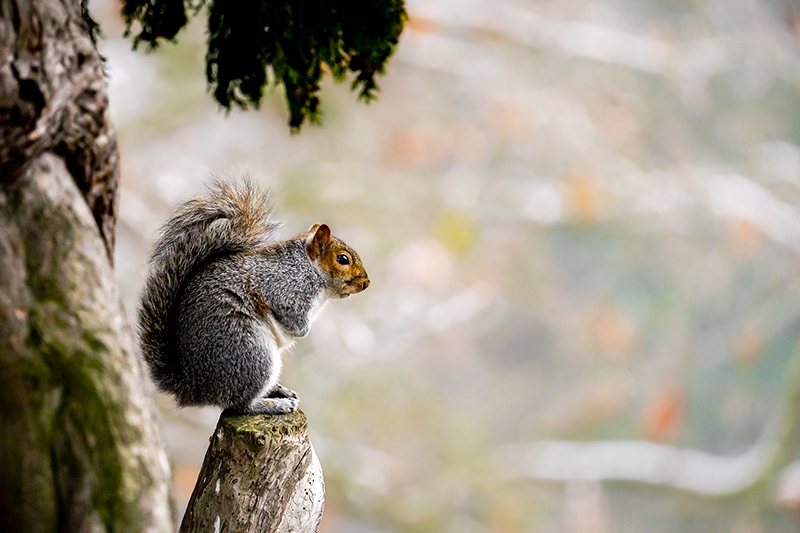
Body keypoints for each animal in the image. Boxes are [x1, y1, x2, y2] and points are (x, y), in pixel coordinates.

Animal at [138, 181, 372, 414]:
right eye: (343, 259)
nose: (366, 283)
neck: (309, 268)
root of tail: (195, 387)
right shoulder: (285, 289)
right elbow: (293, 320)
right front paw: (302, 331)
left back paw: (278, 390)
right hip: (252, 354)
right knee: (240, 404)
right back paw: (275, 405)